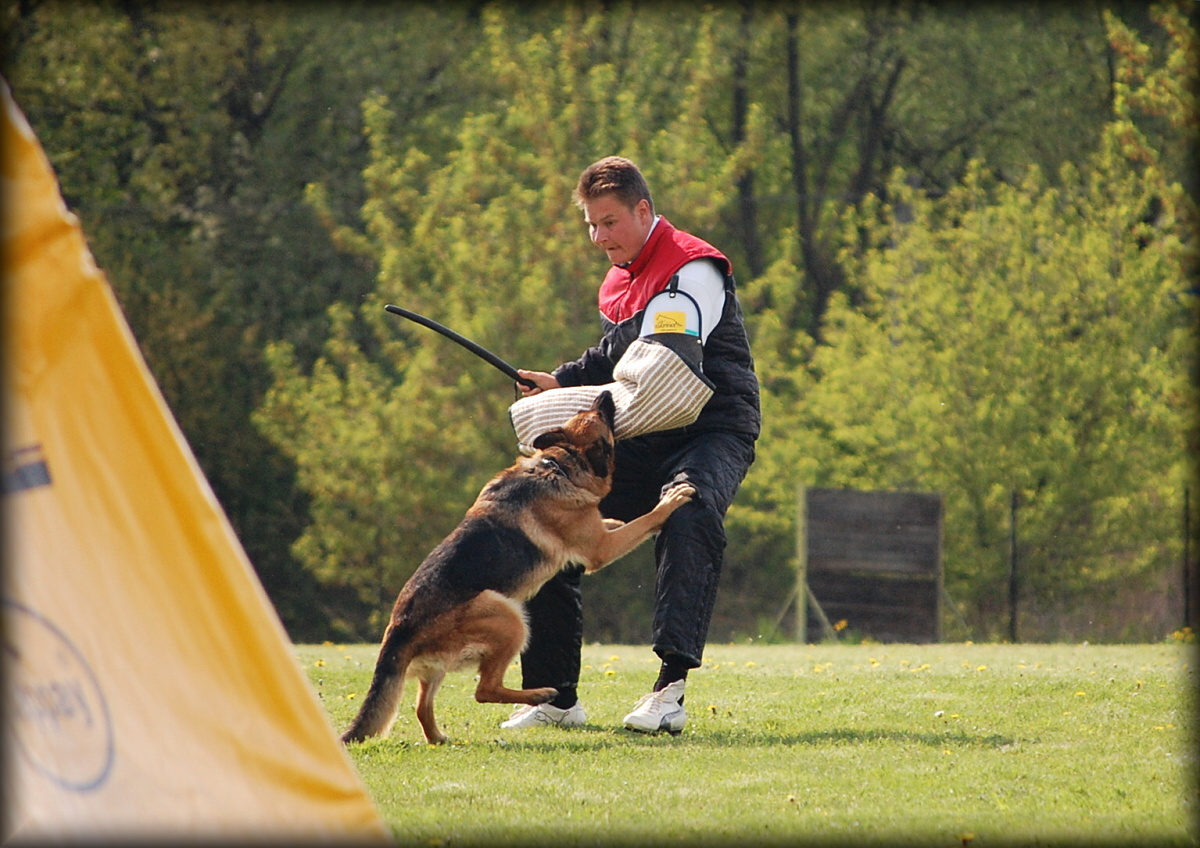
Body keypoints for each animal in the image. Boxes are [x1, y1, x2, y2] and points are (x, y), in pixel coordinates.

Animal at [338, 391, 696, 743]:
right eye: (600, 416)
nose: (607, 392)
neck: (560, 464)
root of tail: (398, 630)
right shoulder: (601, 549)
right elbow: (641, 521)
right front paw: (670, 501)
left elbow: (614, 524)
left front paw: (614, 519)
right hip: (508, 616)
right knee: (484, 690)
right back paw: (541, 694)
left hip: (442, 664)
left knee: (422, 707)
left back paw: (439, 737)